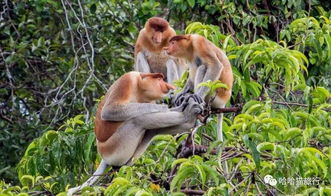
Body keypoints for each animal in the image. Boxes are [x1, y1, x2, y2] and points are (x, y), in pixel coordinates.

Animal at [67, 71, 202, 194]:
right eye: (159, 79)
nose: (169, 87)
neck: (139, 87)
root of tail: (103, 155)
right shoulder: (127, 80)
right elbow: (109, 111)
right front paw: (171, 107)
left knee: (152, 129)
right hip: (114, 148)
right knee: (137, 120)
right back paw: (188, 116)